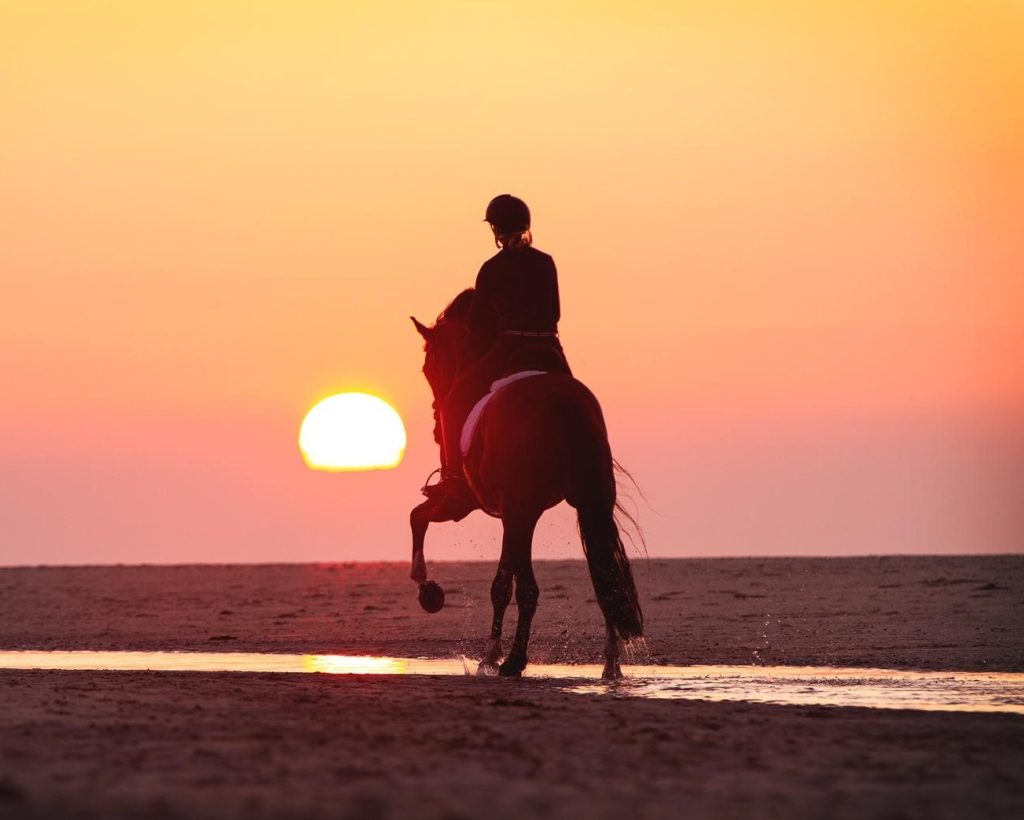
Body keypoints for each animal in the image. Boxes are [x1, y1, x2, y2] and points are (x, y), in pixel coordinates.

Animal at [408, 289, 644, 679]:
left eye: (429, 367)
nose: (435, 417)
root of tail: (565, 403)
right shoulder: (508, 516)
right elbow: (501, 583)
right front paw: (489, 655)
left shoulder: (472, 505)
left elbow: (417, 516)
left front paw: (428, 588)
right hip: (587, 505)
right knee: (605, 574)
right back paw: (610, 663)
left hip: (525, 510)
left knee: (531, 588)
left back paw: (516, 661)